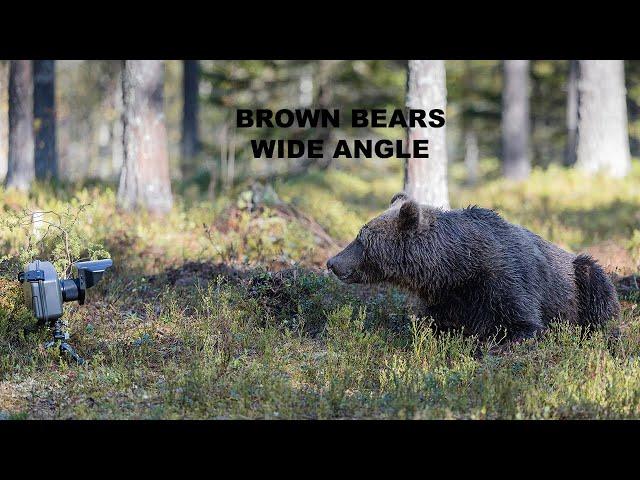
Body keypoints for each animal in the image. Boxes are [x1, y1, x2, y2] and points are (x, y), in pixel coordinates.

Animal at [328, 191, 616, 342]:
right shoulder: (446, 296)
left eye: (361, 238)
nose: (332, 263)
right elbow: (435, 323)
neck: (457, 267)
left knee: (595, 285)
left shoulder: (504, 278)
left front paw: (492, 343)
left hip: (576, 278)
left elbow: (522, 323)